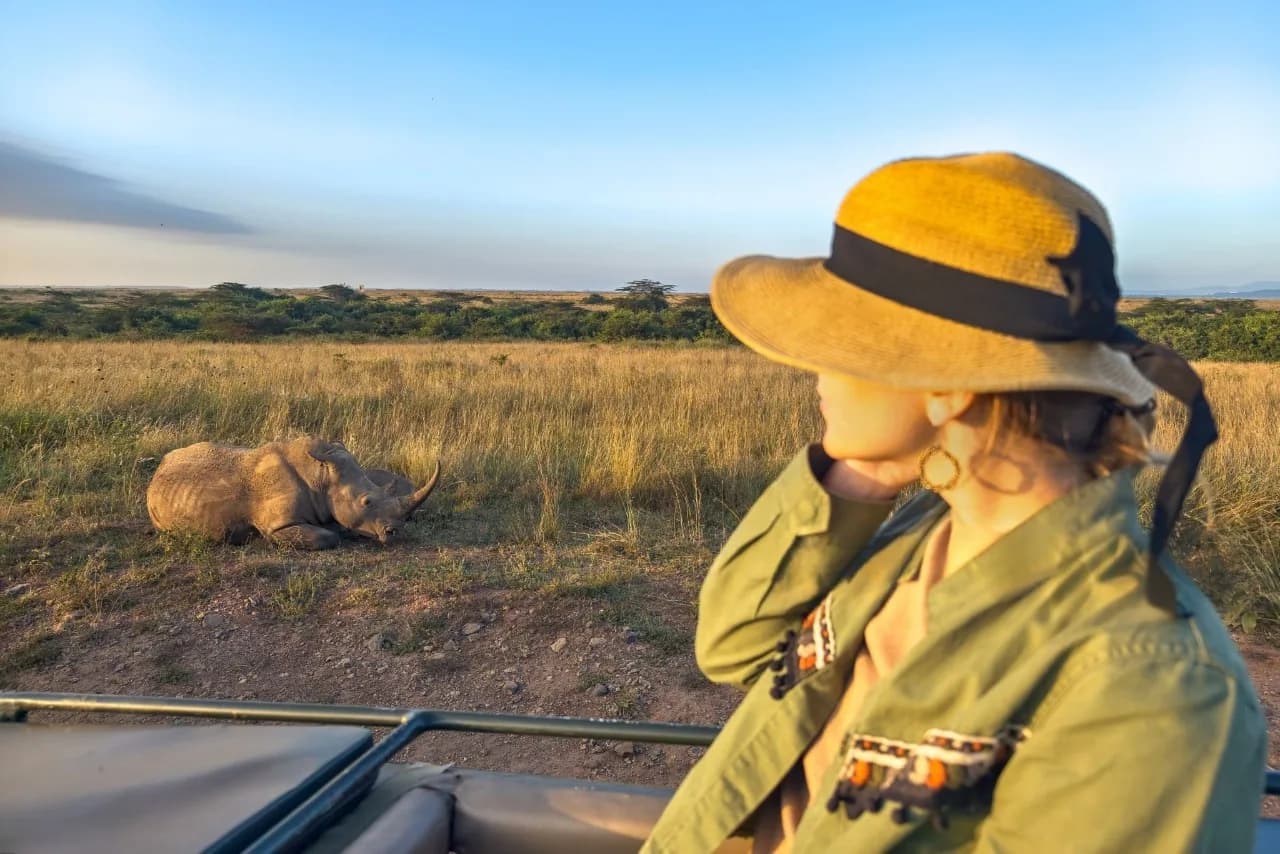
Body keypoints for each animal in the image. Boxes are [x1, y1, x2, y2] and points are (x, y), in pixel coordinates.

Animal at [146, 437, 440, 550]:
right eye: (366, 501)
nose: (396, 533)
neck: (321, 476)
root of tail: (157, 472)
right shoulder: (278, 525)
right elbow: (327, 537)